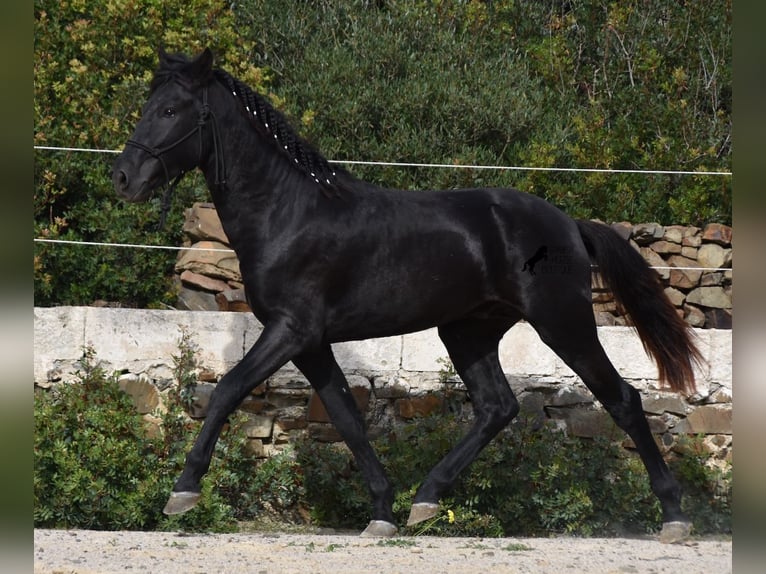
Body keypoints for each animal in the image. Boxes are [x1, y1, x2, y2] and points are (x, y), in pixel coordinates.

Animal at [111, 50, 704, 544]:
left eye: (170, 109)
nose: (123, 178)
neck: (287, 212)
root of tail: (569, 226)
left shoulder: (290, 330)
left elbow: (229, 389)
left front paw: (182, 492)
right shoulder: (311, 342)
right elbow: (348, 418)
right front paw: (382, 513)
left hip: (563, 322)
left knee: (622, 400)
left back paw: (675, 518)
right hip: (467, 331)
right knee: (497, 407)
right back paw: (425, 500)